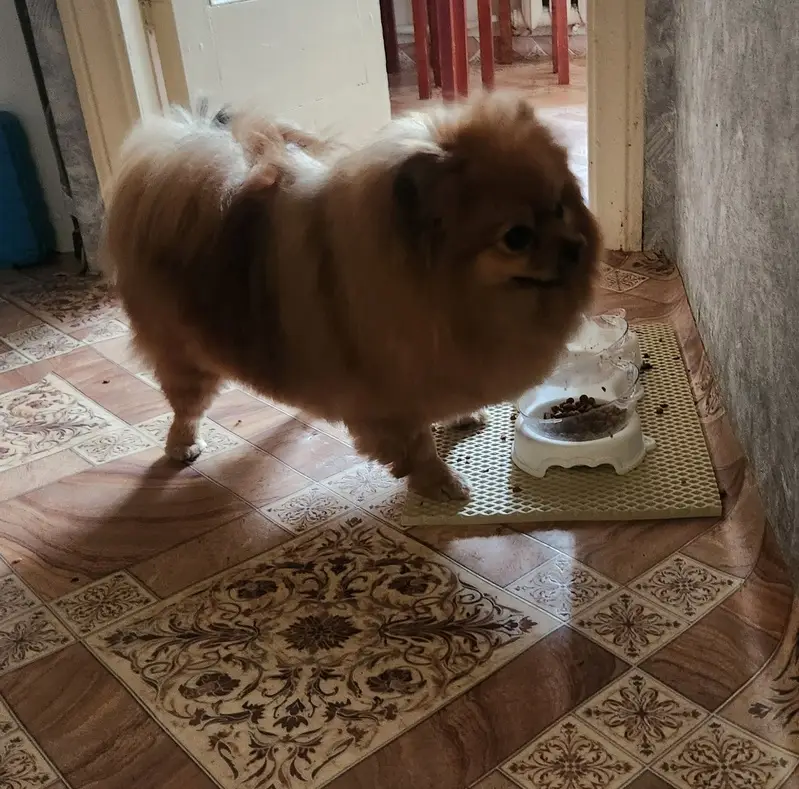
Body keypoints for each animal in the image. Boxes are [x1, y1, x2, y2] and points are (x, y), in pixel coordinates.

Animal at [102, 94, 601, 501]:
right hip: (187, 356)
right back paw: (182, 444)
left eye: (560, 207)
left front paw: (460, 416)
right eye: (517, 237)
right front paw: (439, 482)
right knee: (185, 405)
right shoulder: (390, 395)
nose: (576, 246)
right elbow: (416, 445)